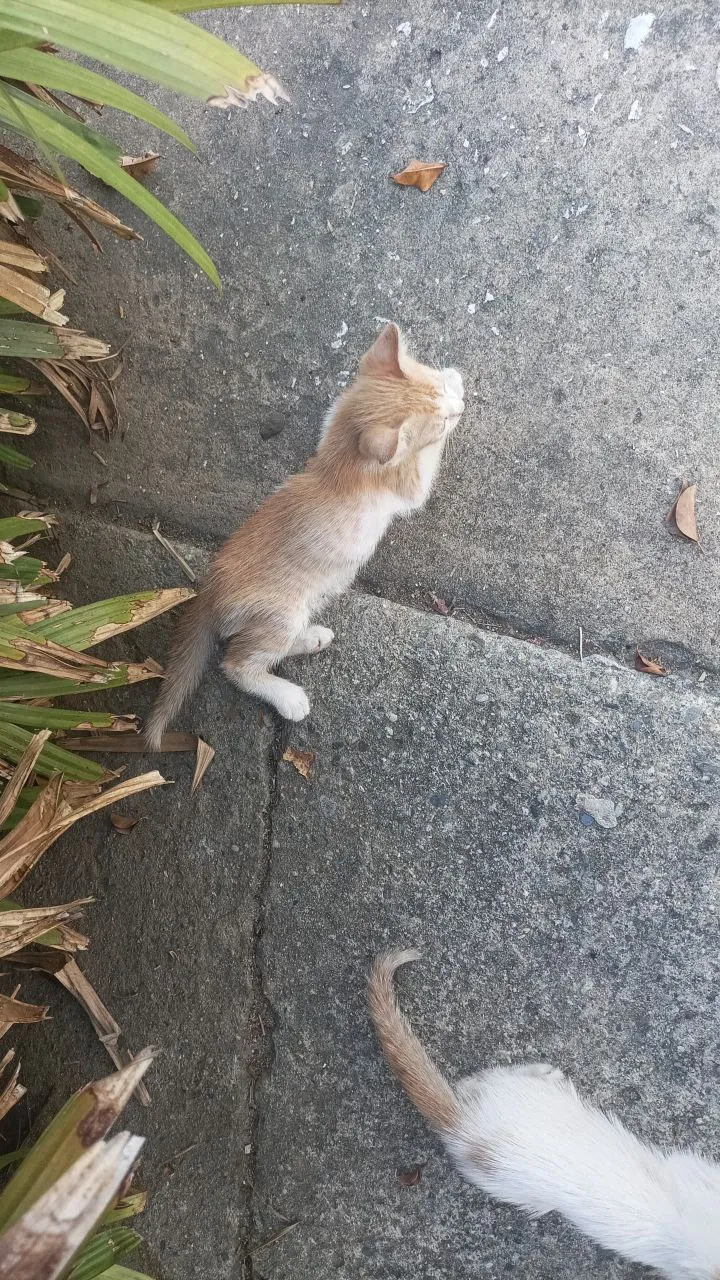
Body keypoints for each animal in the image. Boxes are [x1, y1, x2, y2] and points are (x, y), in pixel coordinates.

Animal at [144, 320, 458, 747]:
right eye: (440, 424)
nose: (455, 408)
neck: (342, 462)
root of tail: (209, 591)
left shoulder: (336, 418)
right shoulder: (405, 487)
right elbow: (425, 471)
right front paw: (456, 389)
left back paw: (313, 639)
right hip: (280, 613)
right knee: (237, 664)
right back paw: (288, 696)